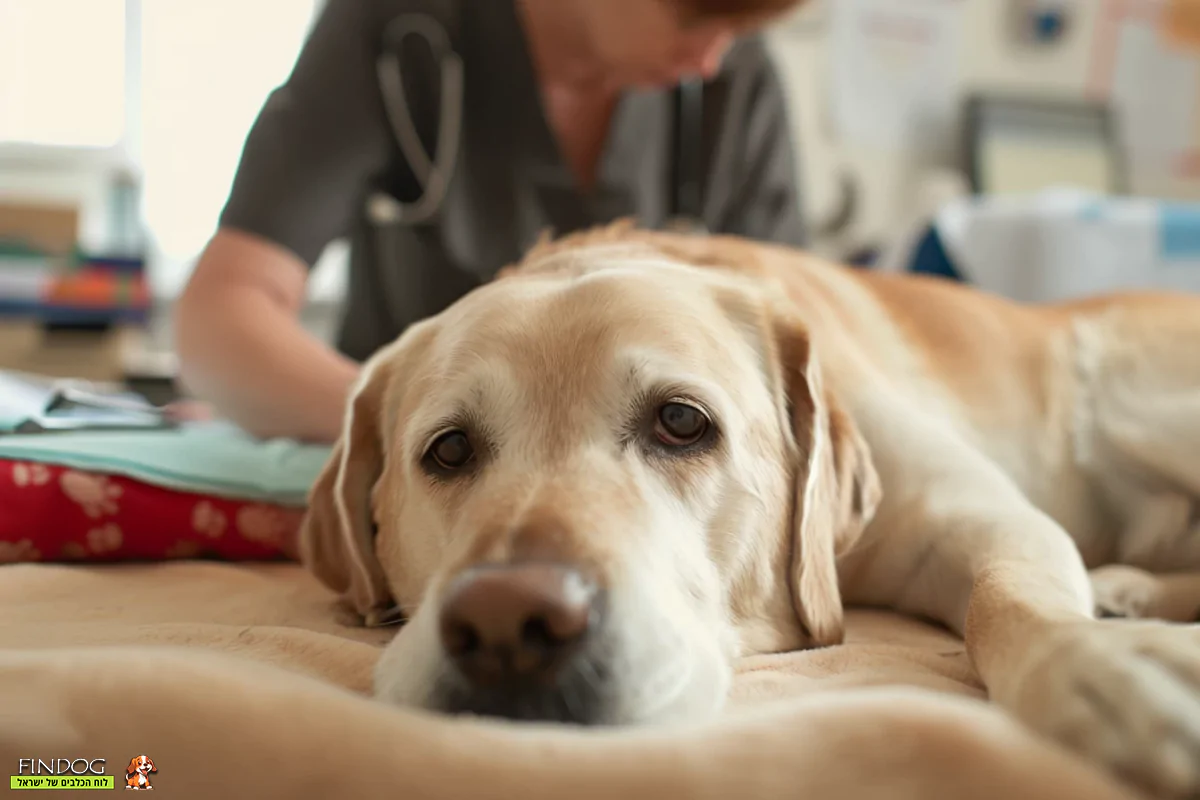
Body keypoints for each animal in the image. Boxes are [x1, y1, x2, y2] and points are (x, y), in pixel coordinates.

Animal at [300, 221, 1200, 796]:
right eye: (449, 450)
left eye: (681, 422)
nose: (504, 625)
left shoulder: (978, 517)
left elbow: (1008, 600)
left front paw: (1111, 673)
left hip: (1135, 407)